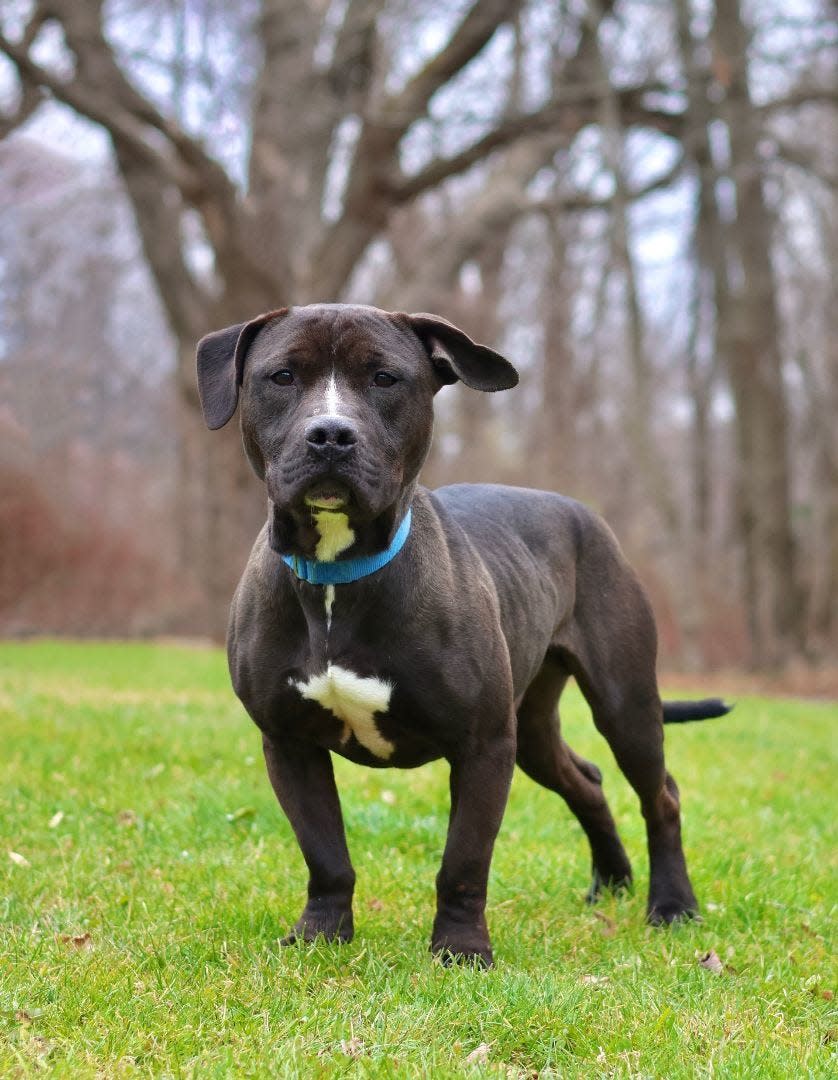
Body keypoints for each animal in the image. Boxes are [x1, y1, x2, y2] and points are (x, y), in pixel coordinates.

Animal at [194, 300, 725, 967]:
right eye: (283, 376)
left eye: (385, 378)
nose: (331, 434)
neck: (338, 573)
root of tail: (583, 513)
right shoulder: (289, 742)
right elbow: (325, 853)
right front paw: (320, 937)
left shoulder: (483, 745)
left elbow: (464, 861)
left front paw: (461, 950)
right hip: (534, 729)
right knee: (587, 781)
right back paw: (612, 881)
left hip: (623, 705)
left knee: (662, 796)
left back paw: (672, 905)